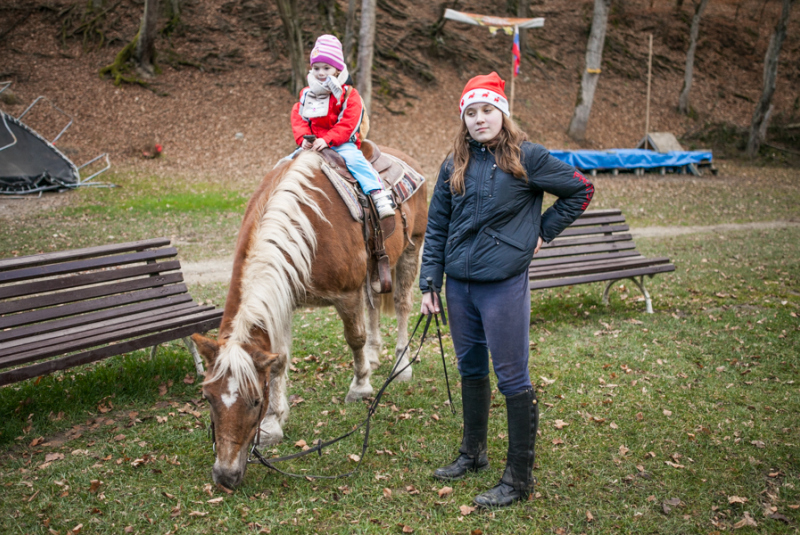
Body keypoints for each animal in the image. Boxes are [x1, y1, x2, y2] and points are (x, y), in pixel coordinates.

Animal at [189, 147, 424, 490]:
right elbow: (279, 360)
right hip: (373, 272)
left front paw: (360, 386)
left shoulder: (346, 294)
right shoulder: (283, 298)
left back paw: (401, 365)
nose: (225, 476)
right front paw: (274, 424)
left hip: (410, 249)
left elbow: (354, 338)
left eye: (255, 401)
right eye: (207, 397)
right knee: (374, 309)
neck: (310, 227)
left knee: (403, 305)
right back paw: (375, 356)